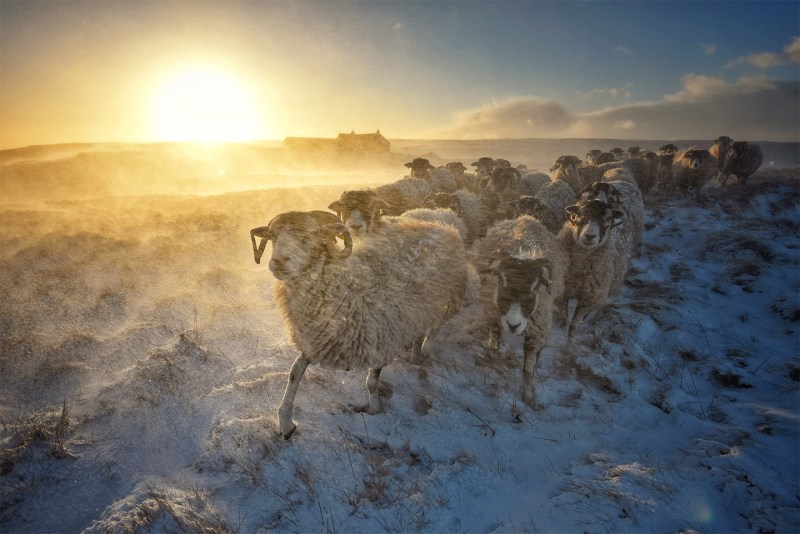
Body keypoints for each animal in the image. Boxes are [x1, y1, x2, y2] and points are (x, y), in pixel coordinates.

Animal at [250, 209, 468, 440]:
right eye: (273, 236)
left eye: (311, 234)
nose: (279, 262)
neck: (348, 286)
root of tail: (437, 217)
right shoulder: (319, 339)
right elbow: (294, 373)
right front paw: (285, 422)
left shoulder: (383, 338)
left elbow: (371, 382)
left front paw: (375, 409)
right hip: (419, 311)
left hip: (446, 301)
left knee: (432, 329)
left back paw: (423, 351)